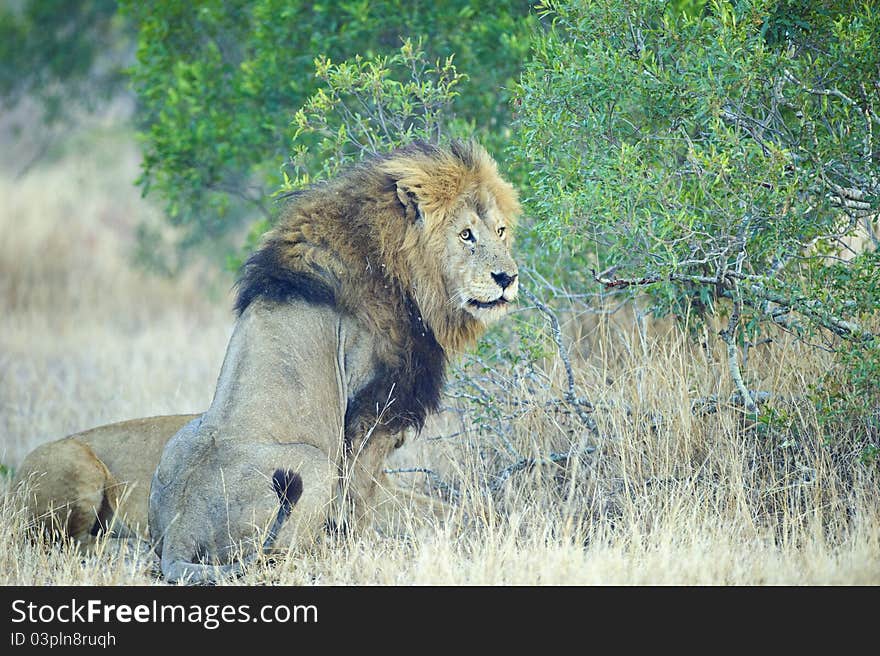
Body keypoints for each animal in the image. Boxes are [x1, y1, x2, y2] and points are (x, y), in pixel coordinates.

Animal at [150, 141, 520, 580]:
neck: (405, 273)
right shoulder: (370, 411)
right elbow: (359, 497)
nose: (507, 278)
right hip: (314, 467)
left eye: (500, 231)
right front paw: (358, 548)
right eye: (466, 234)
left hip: (181, 441)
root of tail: (179, 530)